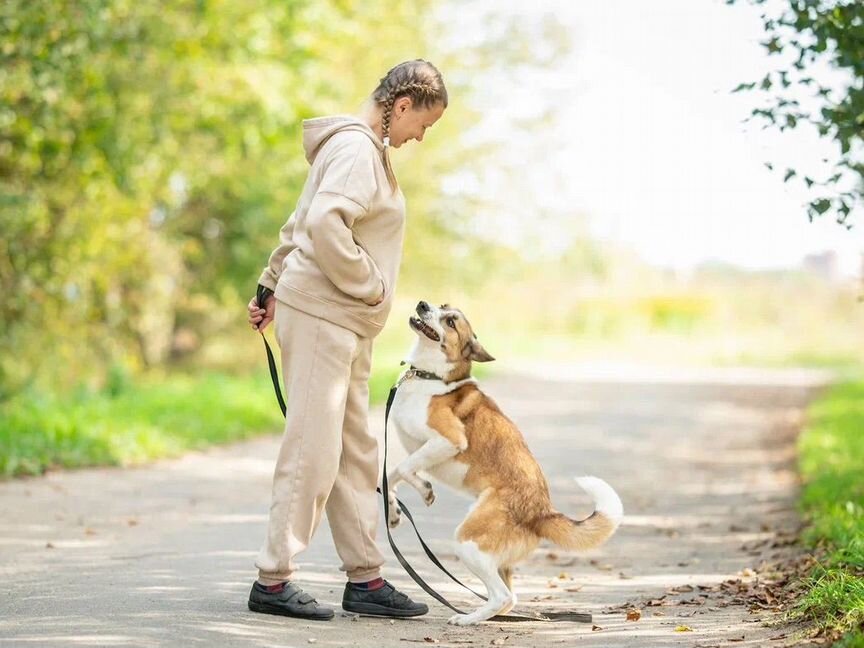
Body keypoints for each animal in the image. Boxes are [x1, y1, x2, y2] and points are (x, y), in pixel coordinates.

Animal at [384, 302, 620, 624]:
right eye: (442, 306)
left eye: (450, 321)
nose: (422, 304)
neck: (431, 377)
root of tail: (541, 512)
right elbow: (390, 476)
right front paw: (394, 511)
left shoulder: (449, 441)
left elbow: (402, 468)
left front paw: (424, 490)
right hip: (492, 555)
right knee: (509, 599)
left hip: (468, 541)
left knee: (502, 597)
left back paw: (467, 619)